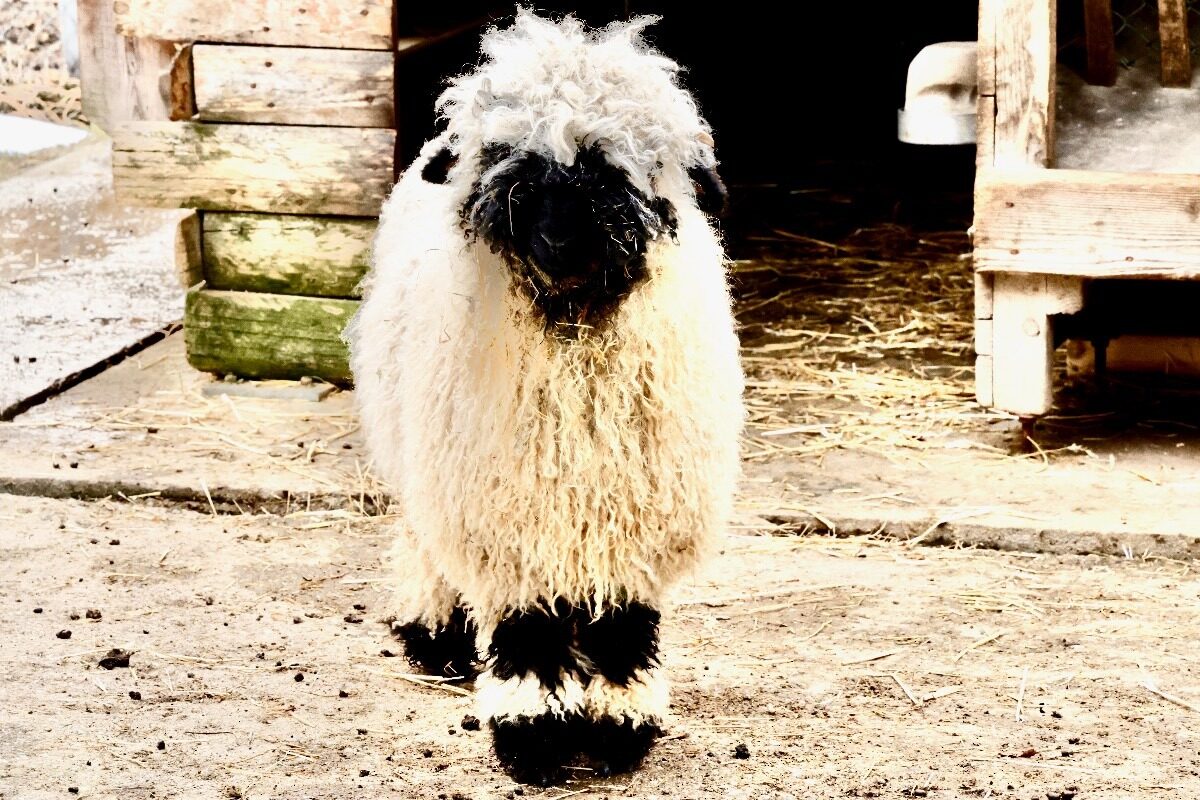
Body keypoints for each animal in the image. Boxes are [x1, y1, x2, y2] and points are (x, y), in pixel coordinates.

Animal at [347, 10, 744, 784]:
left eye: (618, 164)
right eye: (505, 154)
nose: (559, 237)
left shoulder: (637, 517)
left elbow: (622, 627)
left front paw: (619, 727)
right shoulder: (506, 513)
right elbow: (529, 631)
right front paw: (534, 737)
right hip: (423, 447)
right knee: (422, 537)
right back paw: (435, 635)